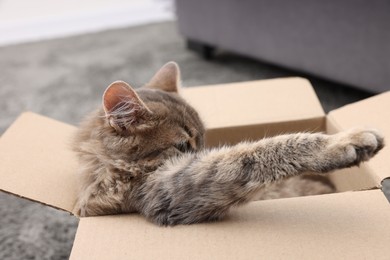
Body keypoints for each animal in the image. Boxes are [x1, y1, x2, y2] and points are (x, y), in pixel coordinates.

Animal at [72, 61, 384, 225]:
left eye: (203, 139)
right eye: (183, 147)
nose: (200, 152)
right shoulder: (172, 191)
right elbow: (263, 150)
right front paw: (343, 142)